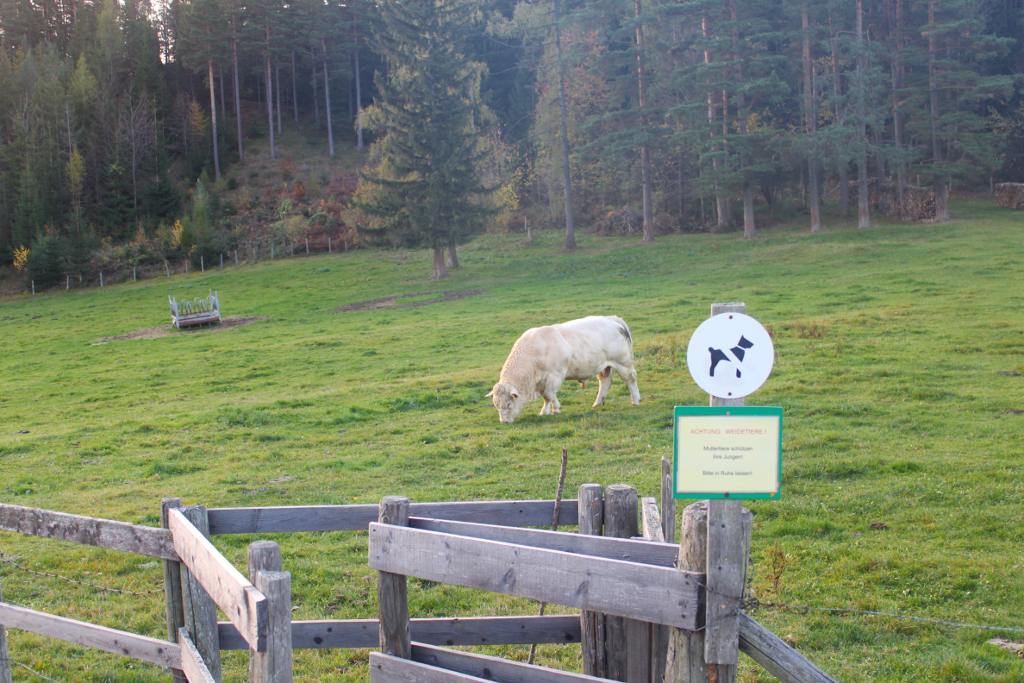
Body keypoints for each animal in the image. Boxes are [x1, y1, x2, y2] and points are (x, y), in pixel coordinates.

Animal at [487, 317, 638, 423]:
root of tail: (612, 319)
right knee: (605, 382)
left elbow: (548, 395)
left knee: (630, 380)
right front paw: (556, 408)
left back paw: (635, 401)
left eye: (508, 403)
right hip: (603, 366)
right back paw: (597, 403)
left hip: (623, 363)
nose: (504, 421)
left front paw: (545, 412)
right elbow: (552, 395)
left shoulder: (555, 375)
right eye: (496, 404)